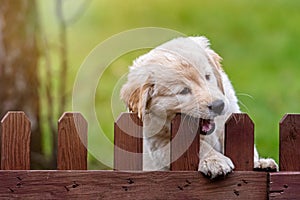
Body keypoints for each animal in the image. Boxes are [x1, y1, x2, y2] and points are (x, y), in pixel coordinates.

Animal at [120, 36, 278, 178]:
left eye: (207, 76)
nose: (218, 106)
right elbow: (201, 146)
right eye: (184, 91)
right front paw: (215, 161)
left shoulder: (229, 116)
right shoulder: (160, 143)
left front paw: (258, 162)